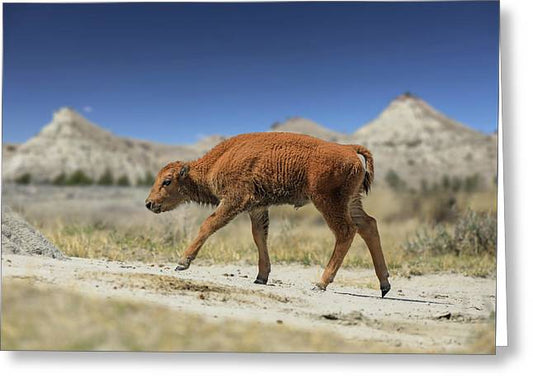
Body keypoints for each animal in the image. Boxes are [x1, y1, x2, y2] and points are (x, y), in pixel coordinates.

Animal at [145, 132, 390, 296]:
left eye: (167, 181)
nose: (149, 203)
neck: (216, 162)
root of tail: (348, 149)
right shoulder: (257, 208)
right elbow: (259, 237)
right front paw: (261, 277)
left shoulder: (234, 201)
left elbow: (209, 224)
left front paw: (182, 262)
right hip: (352, 202)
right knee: (368, 225)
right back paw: (384, 285)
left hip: (328, 202)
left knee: (346, 231)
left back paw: (321, 283)